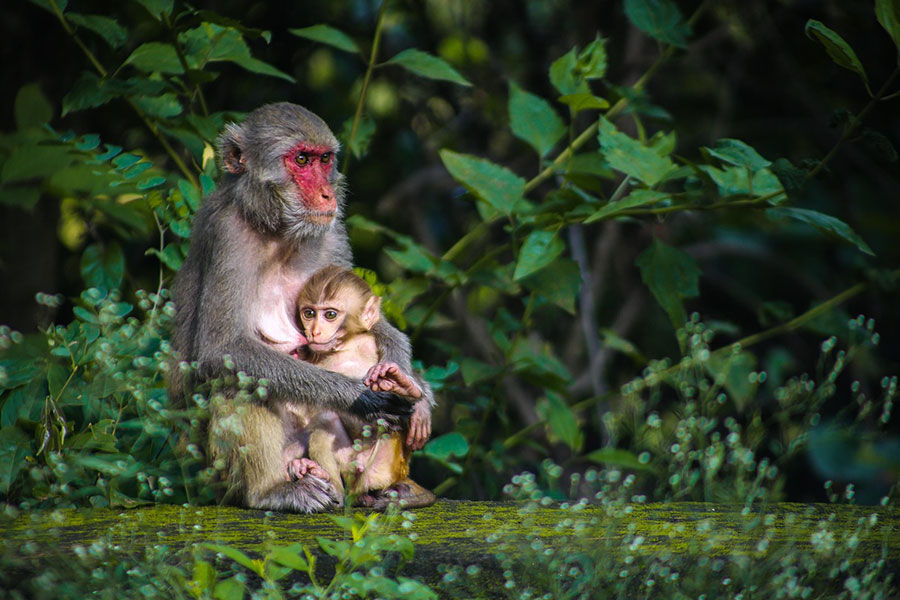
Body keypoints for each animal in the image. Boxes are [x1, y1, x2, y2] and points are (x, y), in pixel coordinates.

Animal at [286, 265, 435, 509]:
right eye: (309, 313)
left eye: (330, 315)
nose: (314, 331)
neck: (344, 347)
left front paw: (401, 385)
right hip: (348, 466)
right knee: (326, 420)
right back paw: (326, 480)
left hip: (385, 467)